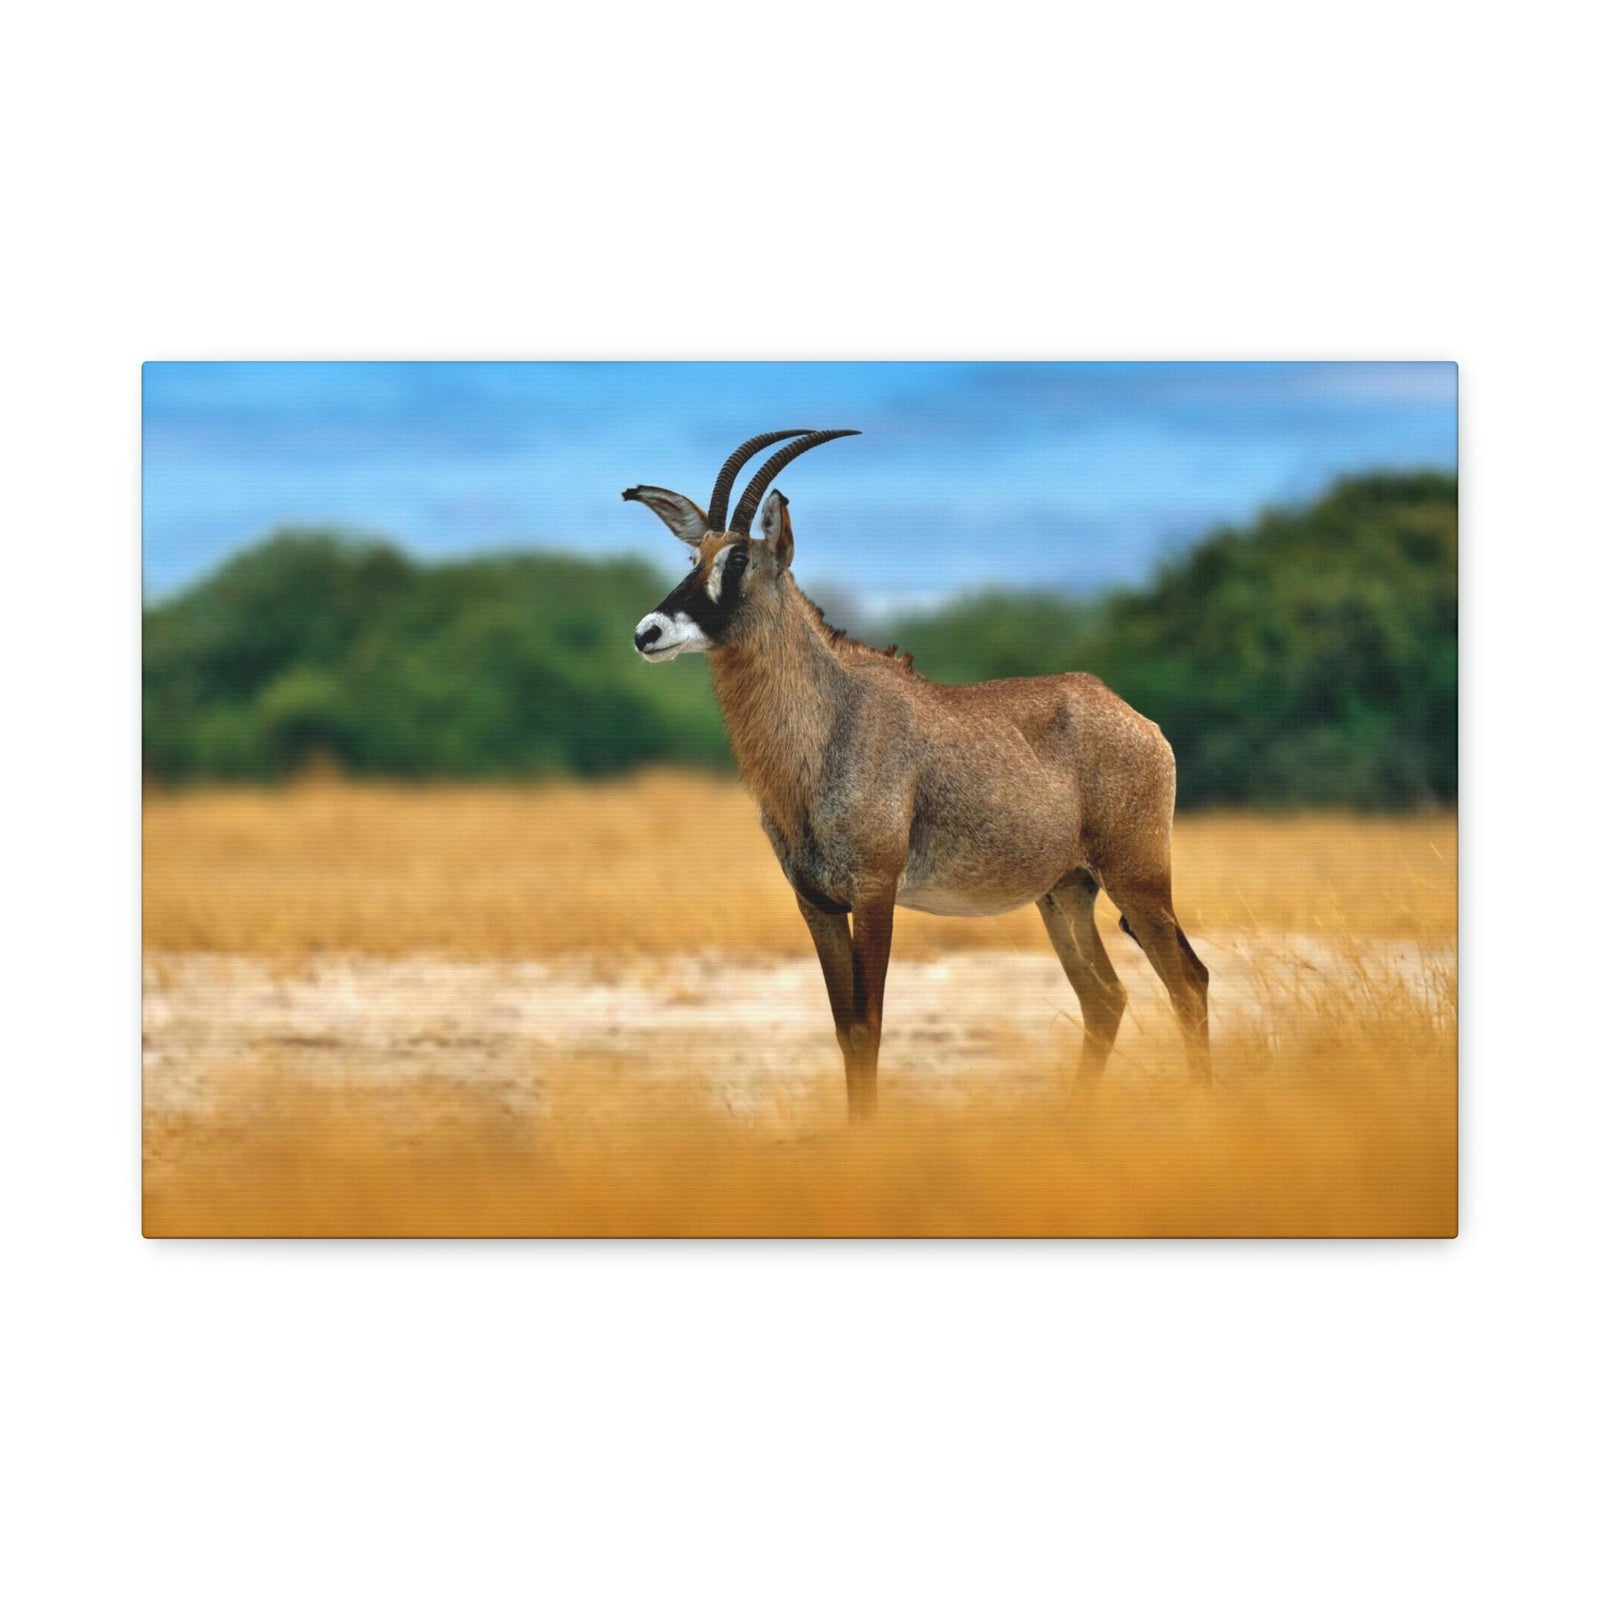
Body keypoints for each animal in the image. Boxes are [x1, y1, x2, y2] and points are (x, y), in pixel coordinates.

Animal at [625, 430, 1210, 1119]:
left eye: (738, 560)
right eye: (695, 555)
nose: (648, 632)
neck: (831, 719)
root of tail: (1138, 722)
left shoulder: (876, 893)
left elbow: (868, 1026)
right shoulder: (816, 903)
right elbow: (845, 1031)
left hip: (1136, 877)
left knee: (1188, 981)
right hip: (1066, 892)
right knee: (1106, 996)